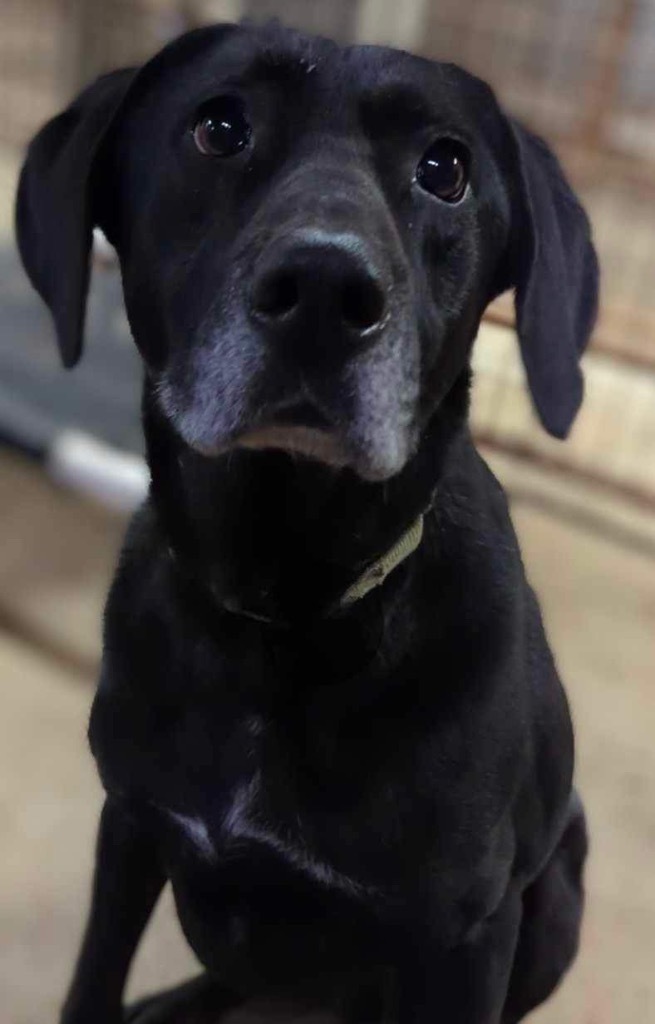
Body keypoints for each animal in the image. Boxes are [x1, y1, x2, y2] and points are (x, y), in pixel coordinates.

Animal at [16, 18, 597, 1024]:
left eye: (445, 168)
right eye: (218, 127)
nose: (326, 290)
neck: (279, 603)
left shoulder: (469, 937)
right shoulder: (129, 823)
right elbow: (91, 977)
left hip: (558, 885)